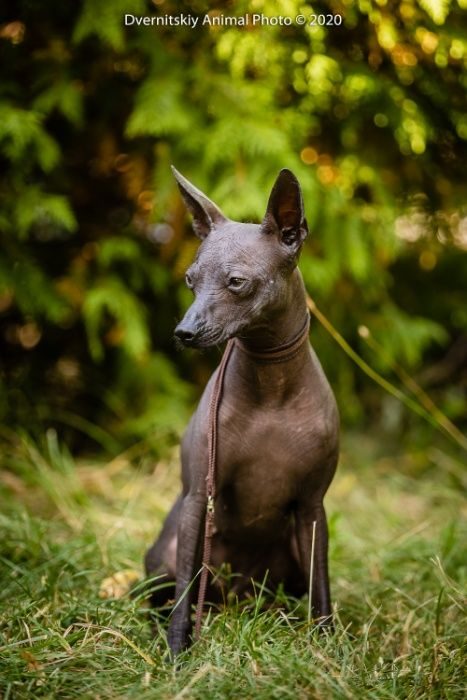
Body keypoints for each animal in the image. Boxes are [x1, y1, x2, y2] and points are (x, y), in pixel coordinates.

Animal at [144, 167, 338, 652]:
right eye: (190, 279)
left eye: (236, 282)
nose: (184, 332)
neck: (271, 387)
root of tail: (235, 598)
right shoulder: (198, 498)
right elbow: (183, 593)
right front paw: (177, 648)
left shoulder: (313, 508)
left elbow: (322, 587)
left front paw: (328, 646)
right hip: (169, 551)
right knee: (173, 590)